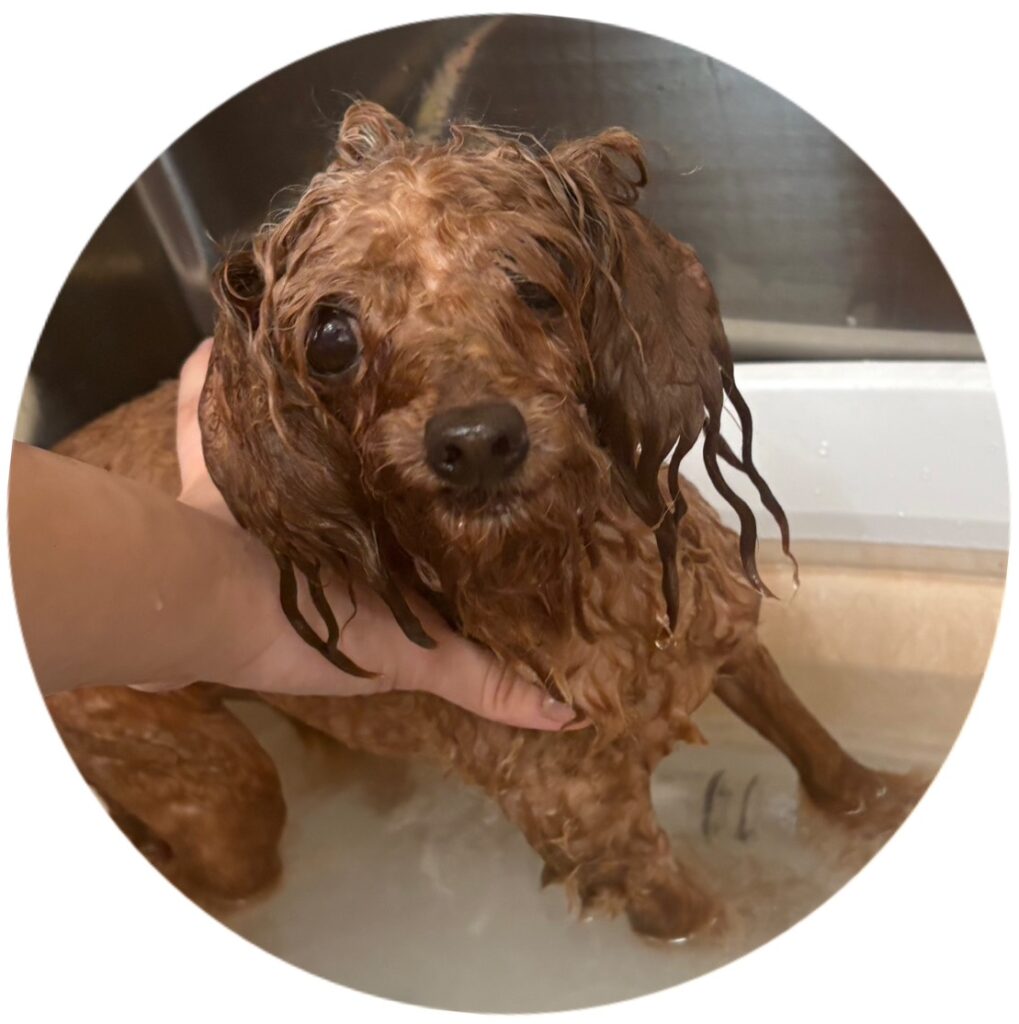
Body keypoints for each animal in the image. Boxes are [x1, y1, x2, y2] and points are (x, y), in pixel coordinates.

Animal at [45, 102, 920, 940]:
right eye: (330, 337)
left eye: (534, 284)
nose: (474, 444)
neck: (574, 569)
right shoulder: (600, 832)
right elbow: (711, 927)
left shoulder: (728, 640)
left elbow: (819, 754)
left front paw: (879, 809)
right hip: (224, 797)